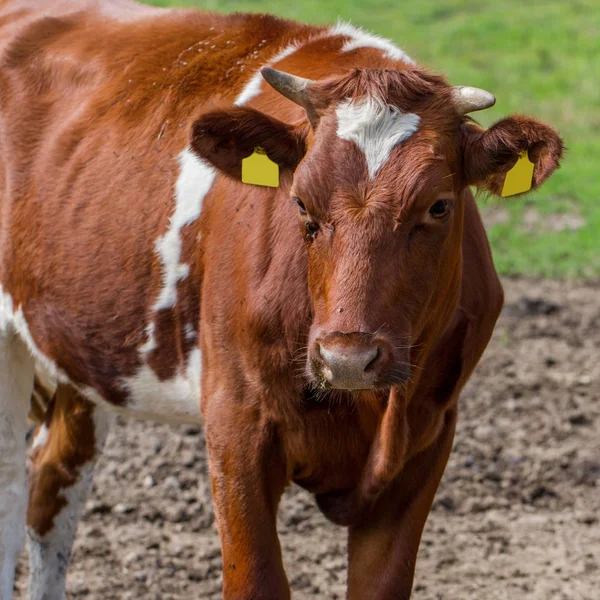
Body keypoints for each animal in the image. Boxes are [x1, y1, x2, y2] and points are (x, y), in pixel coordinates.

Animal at [0, 0, 564, 596]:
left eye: (437, 205)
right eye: (300, 203)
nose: (347, 358)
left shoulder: (426, 439)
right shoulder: (235, 425)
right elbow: (256, 579)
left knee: (52, 484)